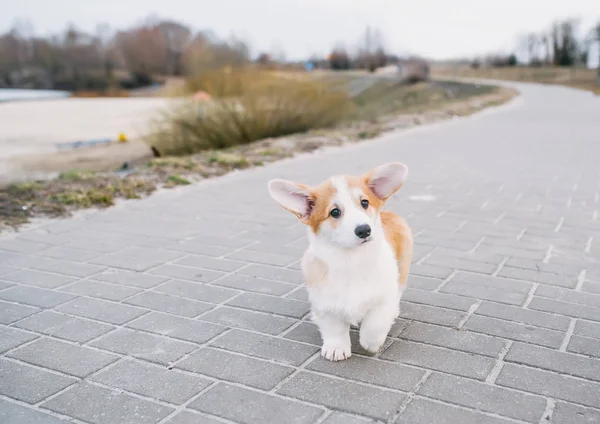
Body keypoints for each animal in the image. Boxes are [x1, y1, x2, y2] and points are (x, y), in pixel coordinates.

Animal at [268, 162, 412, 362]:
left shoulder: (384, 297)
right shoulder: (325, 303)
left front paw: (370, 343)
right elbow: (334, 328)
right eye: (334, 212)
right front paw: (336, 348)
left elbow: (375, 323)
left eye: (364, 203)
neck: (351, 260)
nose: (364, 230)